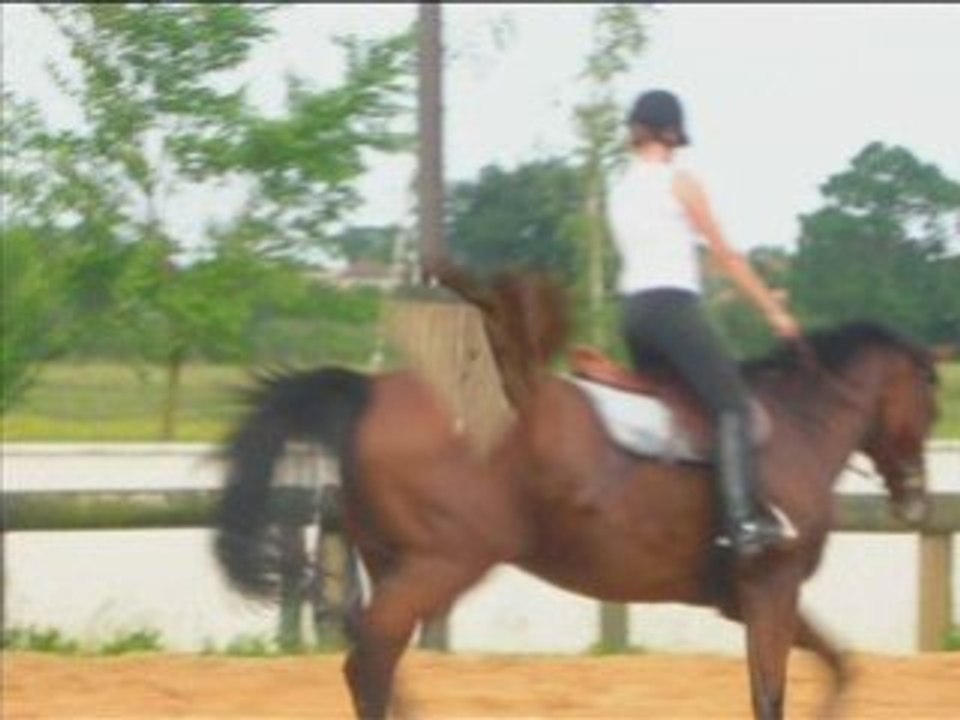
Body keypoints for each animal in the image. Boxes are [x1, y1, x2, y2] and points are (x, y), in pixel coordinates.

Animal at [213, 270, 940, 720]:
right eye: (932, 404)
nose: (915, 502)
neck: (796, 425)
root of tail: (368, 389)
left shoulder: (754, 596)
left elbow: (840, 667)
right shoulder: (771, 584)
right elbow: (770, 694)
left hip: (391, 557)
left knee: (373, 658)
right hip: (440, 563)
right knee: (369, 661)